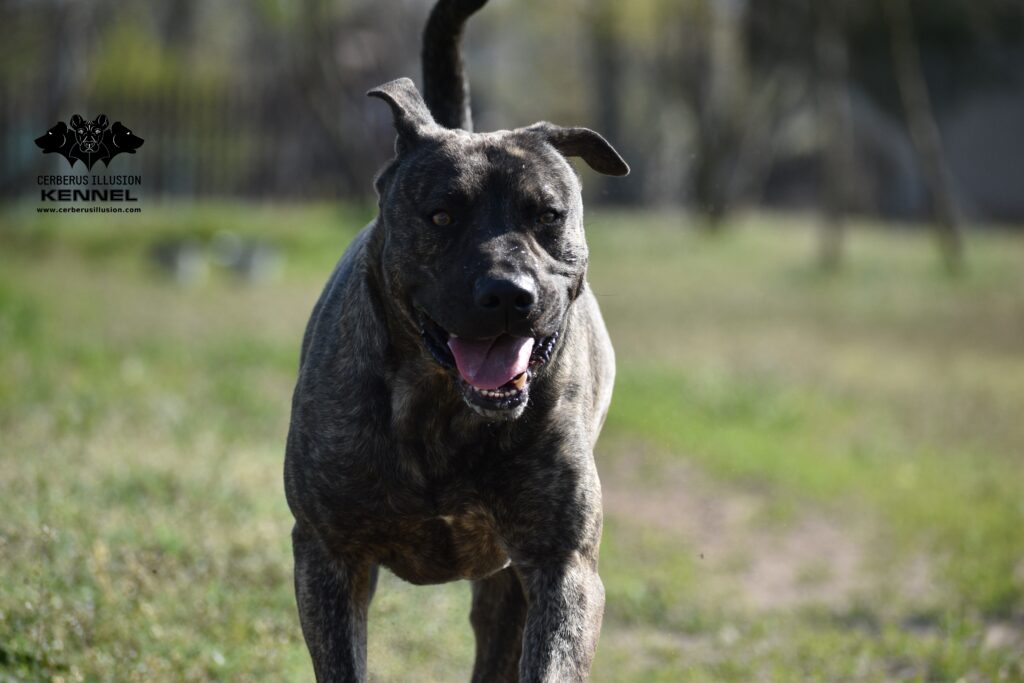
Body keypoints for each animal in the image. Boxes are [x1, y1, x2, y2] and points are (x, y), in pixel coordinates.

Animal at [284, 2, 626, 679]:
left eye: (547, 215)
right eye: (441, 216)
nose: (509, 294)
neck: (441, 406)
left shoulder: (562, 567)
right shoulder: (328, 556)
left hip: (506, 587)